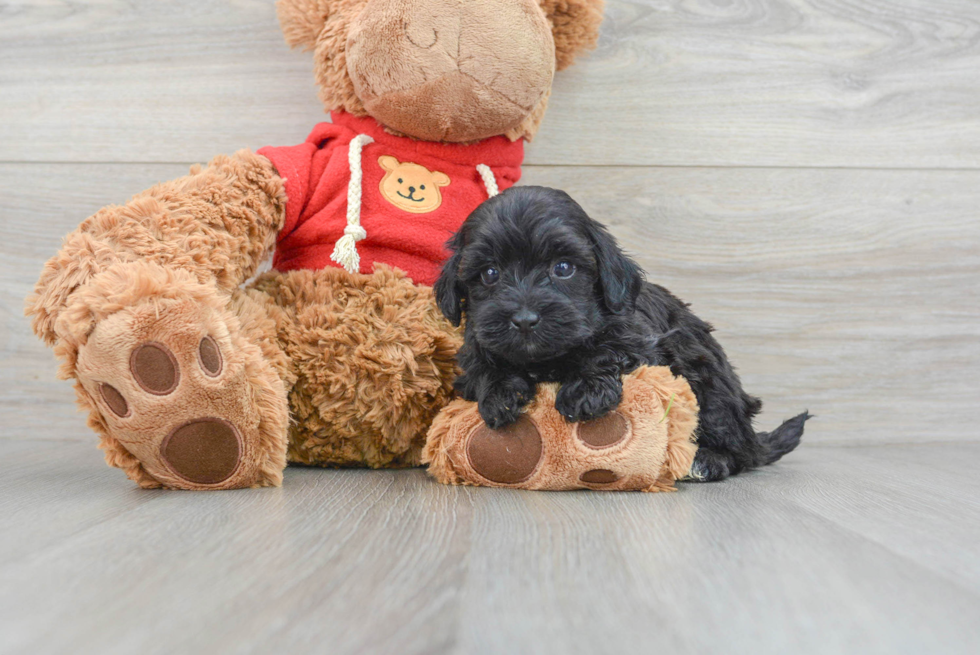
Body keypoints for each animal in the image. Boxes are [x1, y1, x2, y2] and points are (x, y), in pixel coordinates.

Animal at [432, 184, 808, 482]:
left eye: (563, 268)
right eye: (490, 273)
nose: (524, 319)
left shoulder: (645, 340)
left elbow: (608, 349)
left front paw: (586, 391)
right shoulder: (476, 344)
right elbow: (482, 365)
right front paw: (499, 394)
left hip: (706, 375)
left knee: (741, 450)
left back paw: (708, 460)